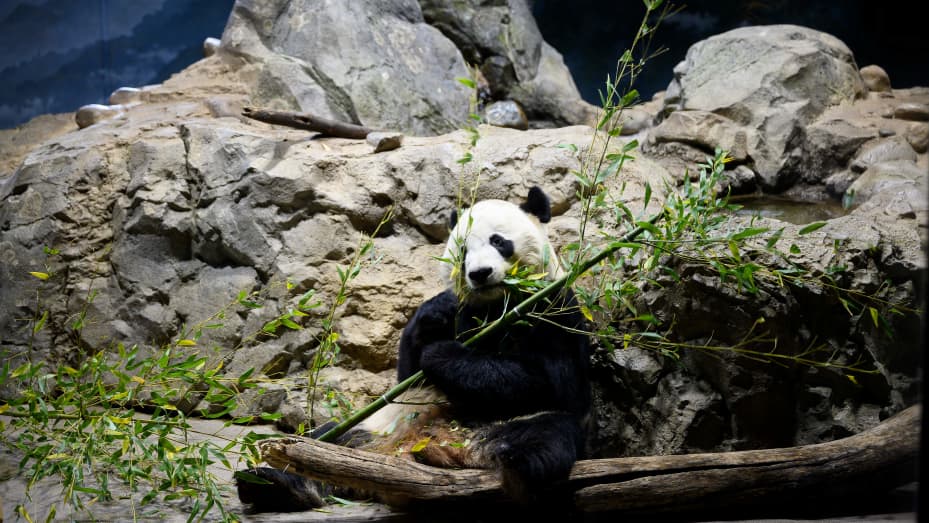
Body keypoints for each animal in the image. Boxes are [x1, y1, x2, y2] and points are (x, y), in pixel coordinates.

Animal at [237, 187, 588, 512]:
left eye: (499, 241)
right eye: (463, 250)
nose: (479, 274)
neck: (495, 304)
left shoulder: (554, 306)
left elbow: (547, 380)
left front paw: (442, 355)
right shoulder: (461, 314)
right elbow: (407, 373)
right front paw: (434, 316)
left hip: (512, 425)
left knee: (541, 443)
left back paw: (513, 481)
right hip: (370, 426)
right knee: (318, 442)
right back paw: (273, 483)